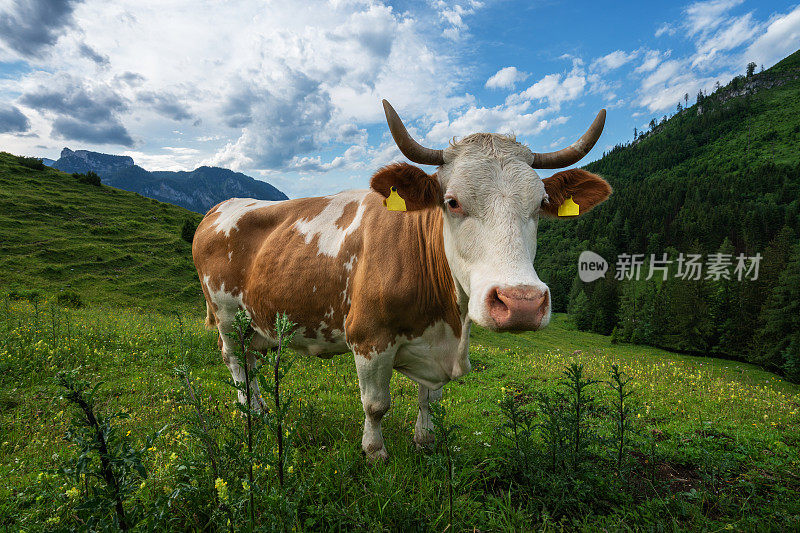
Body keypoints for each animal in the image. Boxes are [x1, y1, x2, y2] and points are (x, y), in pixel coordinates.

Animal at [191, 101, 608, 462]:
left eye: (539, 204)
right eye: (452, 201)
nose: (521, 303)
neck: (447, 320)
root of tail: (221, 207)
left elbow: (429, 399)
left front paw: (425, 441)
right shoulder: (368, 337)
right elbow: (376, 405)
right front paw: (375, 452)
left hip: (257, 320)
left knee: (252, 360)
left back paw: (262, 409)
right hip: (225, 313)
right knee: (235, 361)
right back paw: (251, 415)